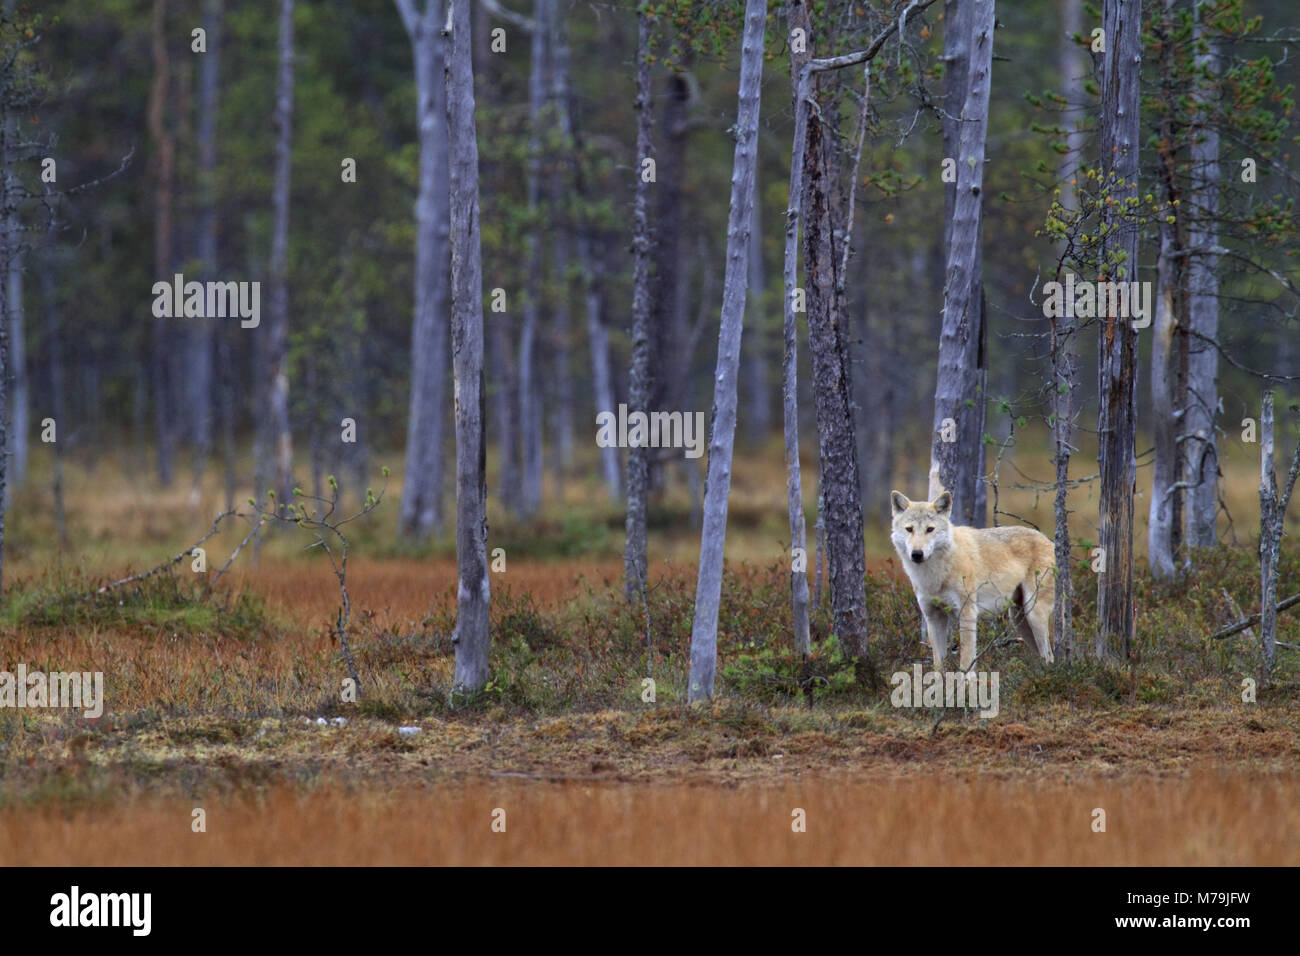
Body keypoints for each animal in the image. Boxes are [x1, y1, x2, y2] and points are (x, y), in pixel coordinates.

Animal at [894, 494, 1055, 671]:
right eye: (909, 529)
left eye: (930, 529)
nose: (917, 554)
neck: (935, 575)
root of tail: (1049, 541)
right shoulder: (933, 617)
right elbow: (938, 665)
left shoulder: (968, 615)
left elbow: (966, 662)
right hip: (1019, 620)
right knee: (1043, 656)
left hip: (1033, 615)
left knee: (1049, 656)